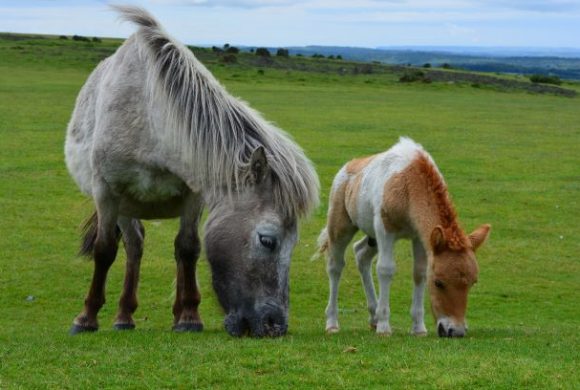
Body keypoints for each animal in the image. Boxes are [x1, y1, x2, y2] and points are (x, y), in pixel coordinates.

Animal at [65, 4, 320, 336]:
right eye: (268, 240)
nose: (274, 325)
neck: (152, 120)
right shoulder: (107, 191)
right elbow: (105, 250)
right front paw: (86, 318)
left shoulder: (193, 195)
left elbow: (188, 248)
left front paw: (188, 317)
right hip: (123, 206)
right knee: (133, 246)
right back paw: (123, 316)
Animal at [318, 139, 490, 336]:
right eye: (438, 283)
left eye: (472, 283)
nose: (455, 331)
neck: (408, 182)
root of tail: (348, 167)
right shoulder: (385, 230)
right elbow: (385, 269)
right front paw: (384, 327)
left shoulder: (420, 237)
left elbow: (419, 272)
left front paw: (418, 328)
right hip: (341, 226)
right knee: (335, 266)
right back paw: (332, 322)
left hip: (372, 237)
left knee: (361, 254)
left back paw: (373, 317)